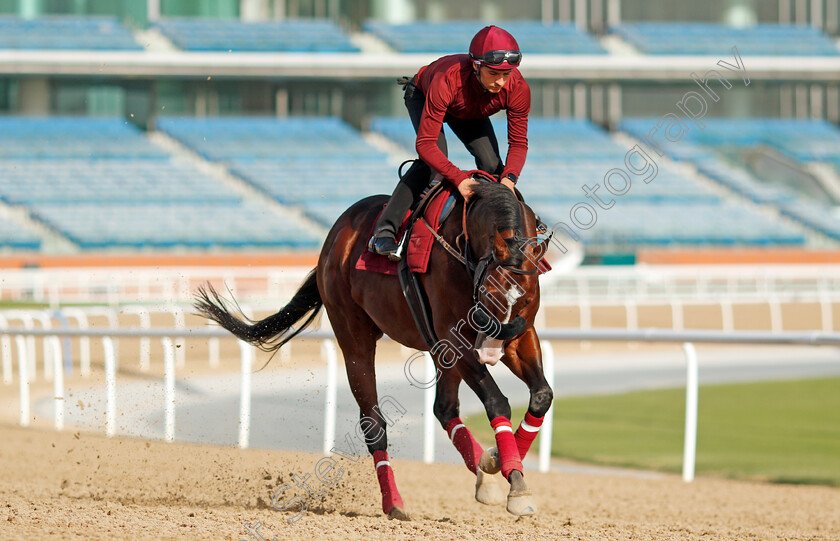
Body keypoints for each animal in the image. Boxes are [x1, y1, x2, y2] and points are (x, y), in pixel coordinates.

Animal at [194, 180, 556, 520]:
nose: (492, 354)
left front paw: (505, 466)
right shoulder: (457, 339)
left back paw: (483, 469)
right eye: (488, 298)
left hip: (435, 349)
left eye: (524, 299)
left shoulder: (518, 335)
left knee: (444, 408)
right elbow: (497, 400)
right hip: (355, 337)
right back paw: (393, 502)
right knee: (374, 422)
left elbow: (542, 395)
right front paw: (514, 480)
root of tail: (335, 237)